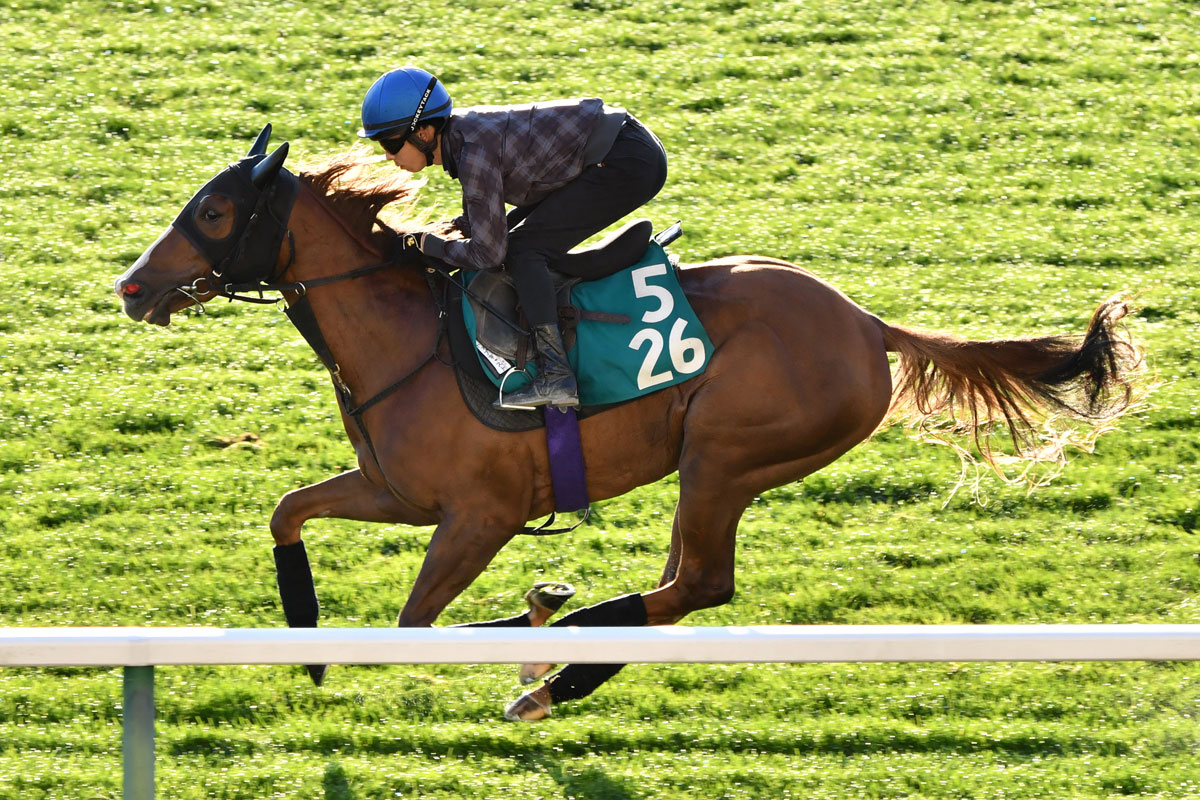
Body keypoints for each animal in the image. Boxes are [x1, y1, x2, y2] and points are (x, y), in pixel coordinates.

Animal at [114, 129, 1143, 721]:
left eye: (214, 209)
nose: (131, 286)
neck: (407, 335)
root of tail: (867, 324)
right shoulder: (394, 491)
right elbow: (289, 510)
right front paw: (309, 645)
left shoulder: (478, 517)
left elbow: (414, 626)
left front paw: (531, 614)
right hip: (707, 469)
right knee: (682, 585)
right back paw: (560, 669)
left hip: (726, 455)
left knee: (699, 585)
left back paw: (555, 673)